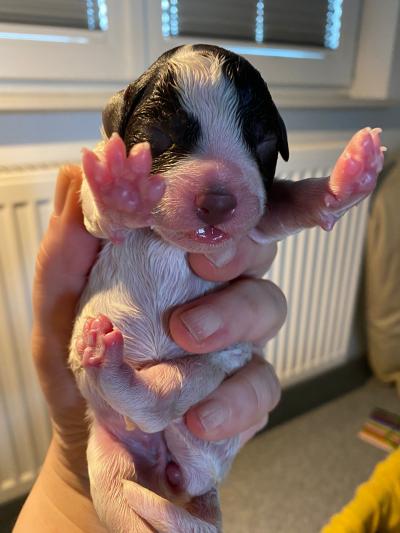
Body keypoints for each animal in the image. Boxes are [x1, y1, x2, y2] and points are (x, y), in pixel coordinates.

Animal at [69, 43, 384, 528]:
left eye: (264, 142)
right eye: (159, 136)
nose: (217, 201)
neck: (169, 241)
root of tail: (181, 474)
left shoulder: (261, 212)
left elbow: (293, 202)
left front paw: (350, 176)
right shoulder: (91, 215)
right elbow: (100, 212)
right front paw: (123, 184)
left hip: (210, 368)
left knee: (160, 401)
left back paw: (113, 368)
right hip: (107, 457)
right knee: (122, 501)